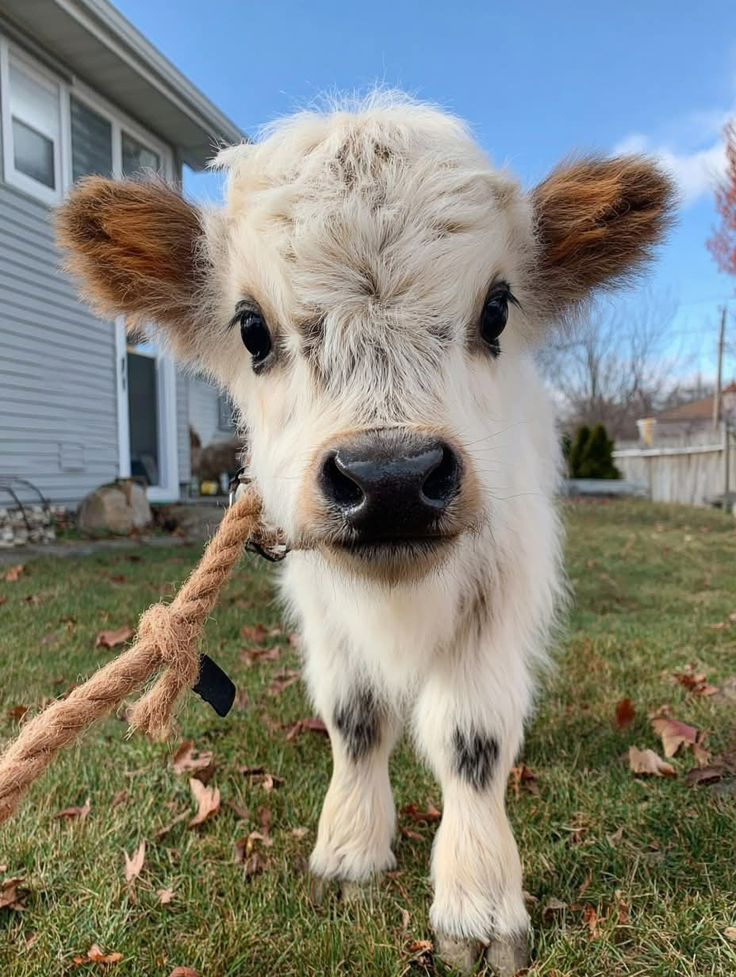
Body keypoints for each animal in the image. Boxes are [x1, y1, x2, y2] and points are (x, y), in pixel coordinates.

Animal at [57, 93, 674, 974]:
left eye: (497, 308)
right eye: (251, 328)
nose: (390, 479)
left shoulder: (504, 580)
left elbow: (474, 737)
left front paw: (479, 902)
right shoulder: (319, 596)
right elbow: (355, 718)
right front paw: (349, 852)